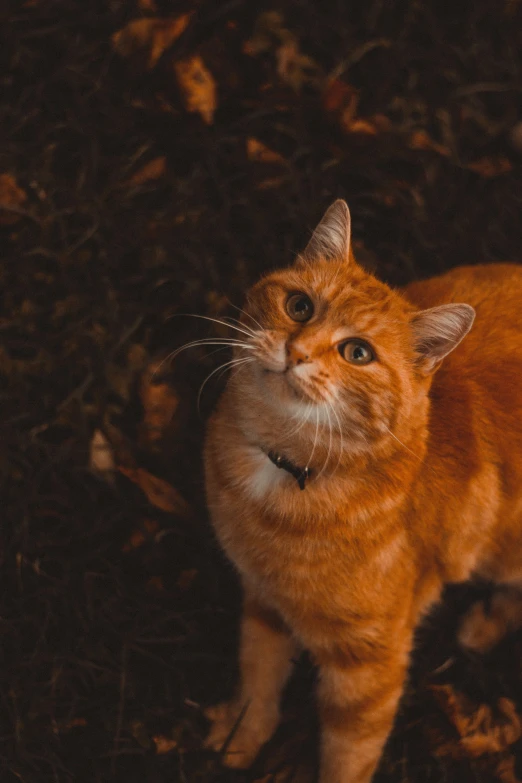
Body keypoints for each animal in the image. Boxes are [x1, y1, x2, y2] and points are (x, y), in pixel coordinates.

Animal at [202, 199, 520, 780]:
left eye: (357, 353)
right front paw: (242, 738)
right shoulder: (263, 599)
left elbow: (348, 754)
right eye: (299, 306)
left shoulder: (370, 665)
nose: (297, 350)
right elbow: (257, 675)